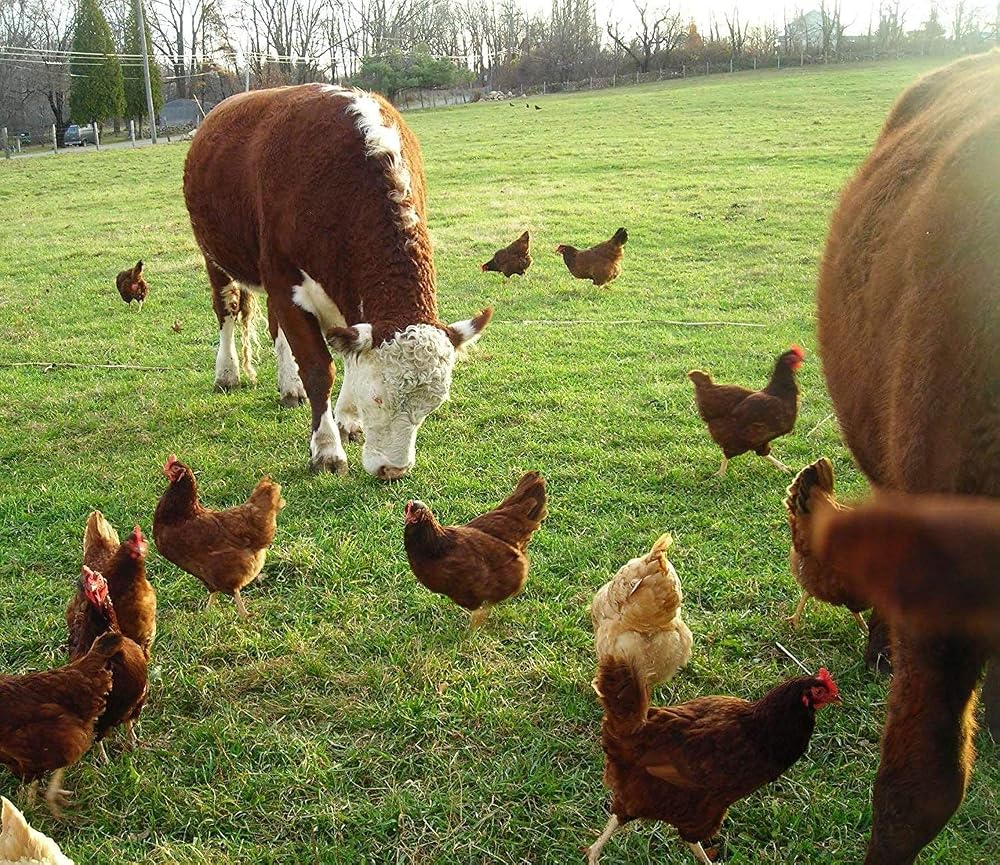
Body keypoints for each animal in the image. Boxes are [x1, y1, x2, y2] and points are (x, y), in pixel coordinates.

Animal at [183, 84, 491, 479]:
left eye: (433, 405)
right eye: (378, 398)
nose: (393, 470)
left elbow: (347, 359)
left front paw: (347, 420)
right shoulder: (285, 281)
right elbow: (319, 370)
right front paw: (327, 449)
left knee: (275, 328)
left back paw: (289, 386)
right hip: (215, 255)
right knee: (227, 309)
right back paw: (227, 373)